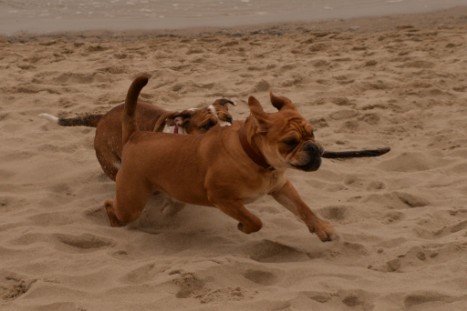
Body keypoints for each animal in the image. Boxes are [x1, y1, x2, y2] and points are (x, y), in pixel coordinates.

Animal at [104, 74, 336, 243]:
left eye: (312, 133)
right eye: (290, 141)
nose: (313, 147)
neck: (254, 156)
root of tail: (136, 135)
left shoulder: (281, 187)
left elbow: (302, 207)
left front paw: (322, 228)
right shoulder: (223, 199)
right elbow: (255, 220)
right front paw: (244, 227)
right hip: (131, 203)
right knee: (110, 204)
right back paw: (115, 223)